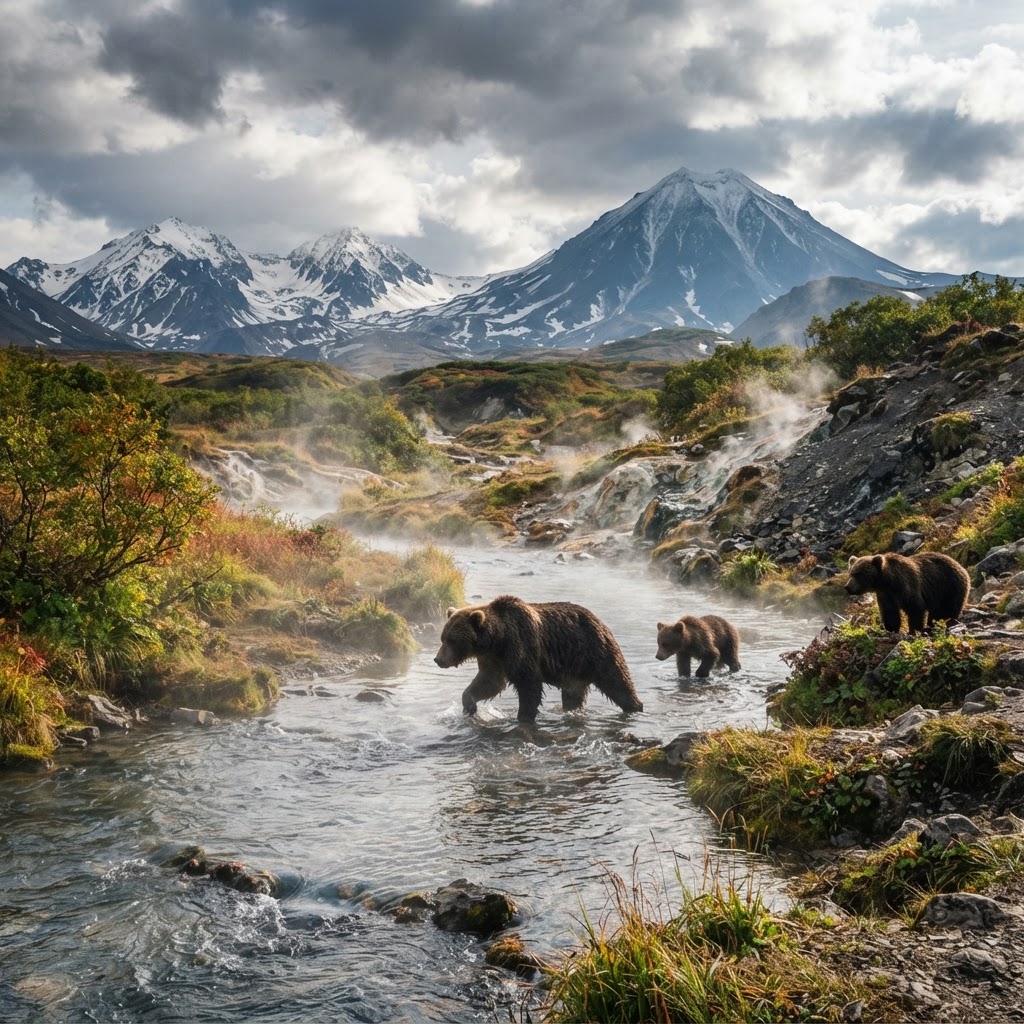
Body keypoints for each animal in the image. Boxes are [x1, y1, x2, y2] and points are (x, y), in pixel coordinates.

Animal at [433, 594, 643, 723]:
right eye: (443, 638)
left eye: (451, 640)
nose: (438, 659)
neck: (497, 640)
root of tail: (600, 621)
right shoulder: (492, 659)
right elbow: (490, 682)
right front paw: (469, 706)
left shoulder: (521, 646)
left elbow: (529, 684)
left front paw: (523, 717)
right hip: (575, 668)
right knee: (574, 694)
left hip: (596, 651)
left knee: (618, 681)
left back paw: (635, 707)